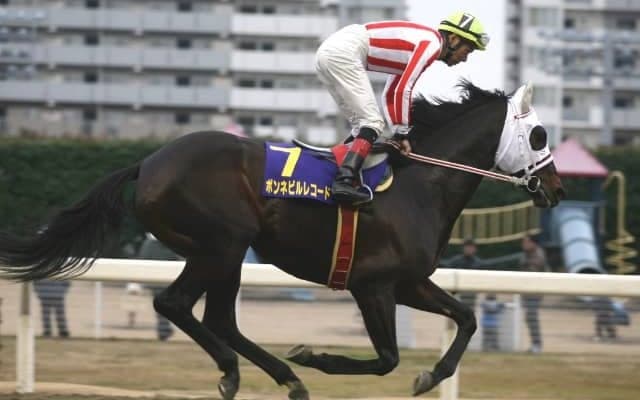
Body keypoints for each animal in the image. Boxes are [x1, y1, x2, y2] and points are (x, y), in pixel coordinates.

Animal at [0, 81, 565, 400]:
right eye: (539, 134)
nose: (558, 188)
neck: (416, 186)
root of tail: (149, 162)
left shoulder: (409, 282)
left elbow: (466, 318)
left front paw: (433, 375)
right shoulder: (372, 284)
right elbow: (387, 358)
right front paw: (316, 357)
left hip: (217, 252)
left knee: (204, 314)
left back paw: (275, 376)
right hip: (224, 244)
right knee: (186, 307)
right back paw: (256, 372)